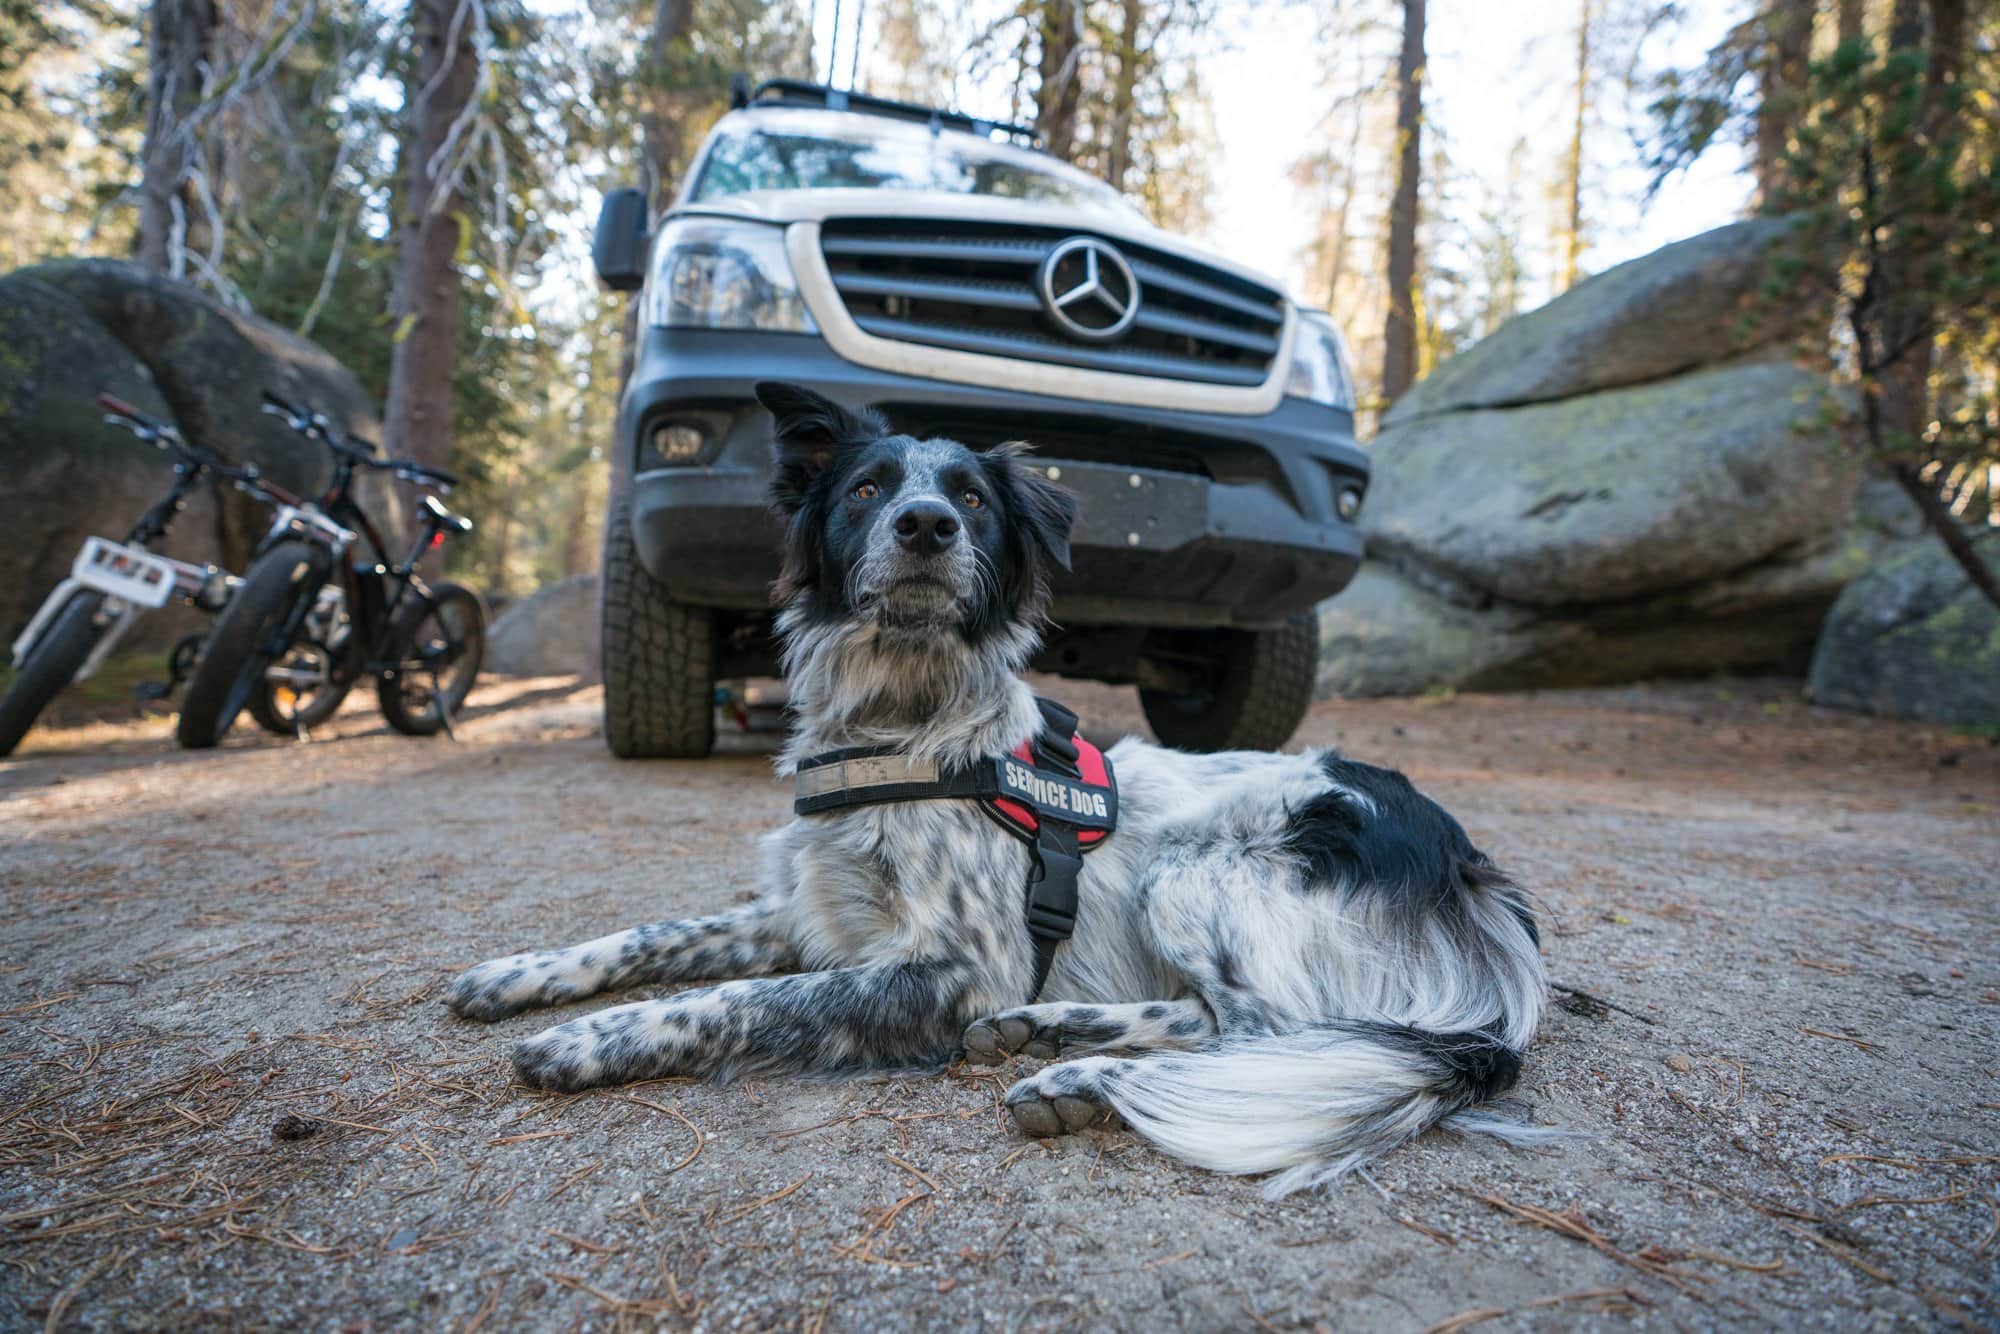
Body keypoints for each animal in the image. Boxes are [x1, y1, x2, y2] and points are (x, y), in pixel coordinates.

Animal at [450, 380, 1544, 1192]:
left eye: (972, 498)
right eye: (865, 488)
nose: (926, 523)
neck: (901, 725)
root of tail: (1470, 863)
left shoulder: (954, 964)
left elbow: (743, 998)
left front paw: (587, 1038)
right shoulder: (810, 907)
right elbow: (651, 933)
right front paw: (519, 974)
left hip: (1200, 869)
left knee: (1267, 1035)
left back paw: (1084, 1077)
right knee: (1208, 1018)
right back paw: (1043, 1029)